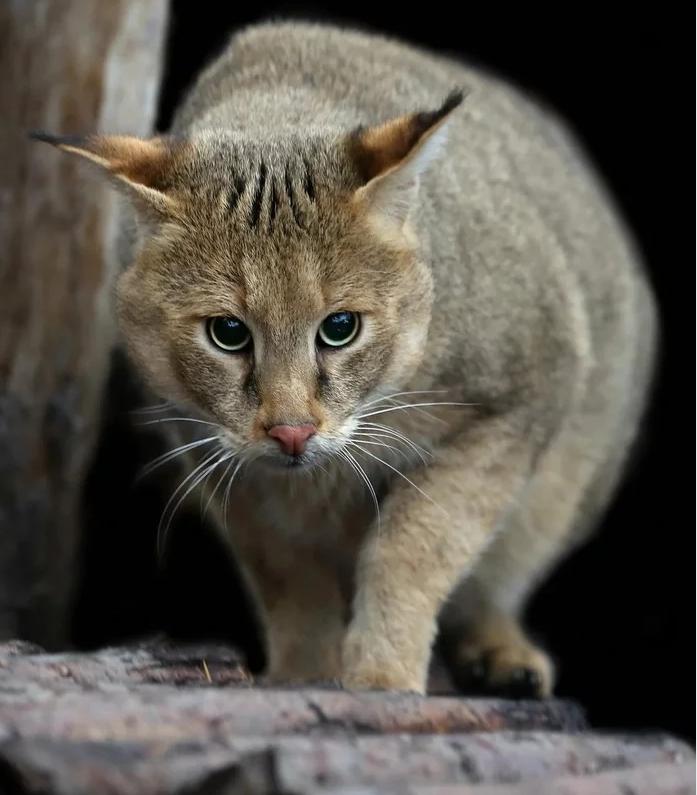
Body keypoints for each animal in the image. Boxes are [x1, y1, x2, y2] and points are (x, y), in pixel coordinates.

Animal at [36, 21, 656, 700]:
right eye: (228, 333)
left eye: (340, 328)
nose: (291, 431)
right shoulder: (216, 455)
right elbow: (288, 573)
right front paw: (302, 674)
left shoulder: (521, 401)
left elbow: (411, 547)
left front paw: (383, 677)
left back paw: (501, 654)